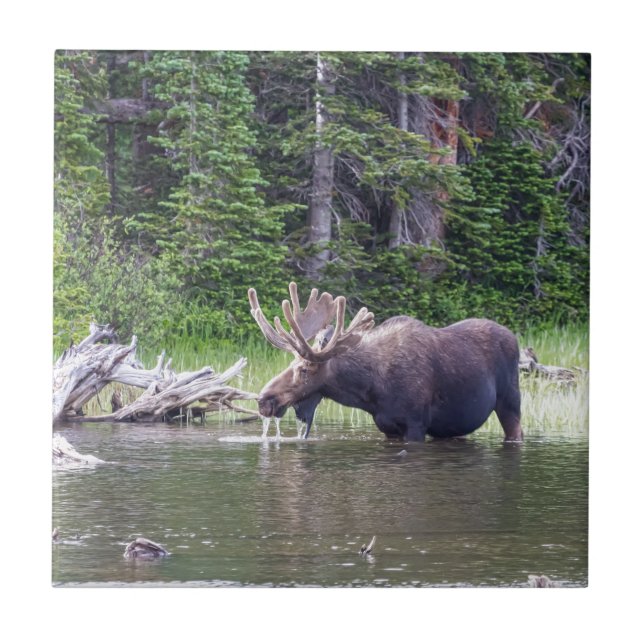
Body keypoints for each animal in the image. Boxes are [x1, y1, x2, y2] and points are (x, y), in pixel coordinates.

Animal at [248, 282, 523, 442]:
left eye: (304, 369)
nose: (263, 400)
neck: (369, 392)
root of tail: (515, 337)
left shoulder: (415, 424)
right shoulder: (387, 427)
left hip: (510, 402)